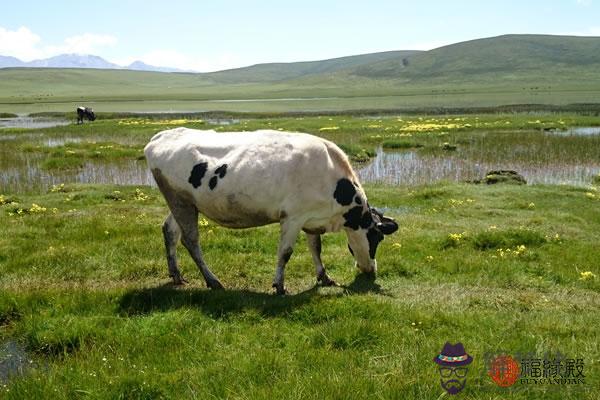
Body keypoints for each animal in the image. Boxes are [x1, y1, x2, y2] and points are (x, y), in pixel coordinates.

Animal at [144, 128, 398, 294]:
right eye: (377, 237)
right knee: (190, 240)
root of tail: (160, 136)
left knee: (170, 231)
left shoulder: (311, 218)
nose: (371, 270)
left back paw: (176, 275)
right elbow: (285, 253)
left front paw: (324, 277)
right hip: (180, 201)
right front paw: (279, 286)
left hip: (184, 203)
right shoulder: (293, 217)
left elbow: (316, 248)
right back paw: (213, 281)